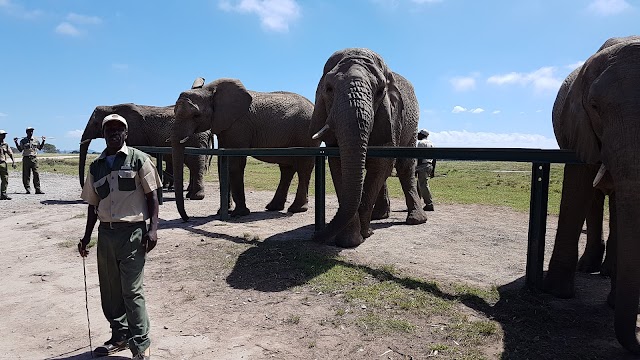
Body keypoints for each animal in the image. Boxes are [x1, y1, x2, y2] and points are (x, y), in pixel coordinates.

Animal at [79, 102, 211, 200]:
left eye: (96, 123)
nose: (83, 187)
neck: (112, 106)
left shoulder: (134, 131)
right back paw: (189, 194)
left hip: (196, 139)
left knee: (195, 163)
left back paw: (195, 196)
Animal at [172, 77, 320, 221]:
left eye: (196, 115)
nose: (187, 219)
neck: (209, 89)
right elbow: (222, 165)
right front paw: (223, 212)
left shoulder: (238, 125)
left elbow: (235, 164)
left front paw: (239, 213)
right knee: (286, 168)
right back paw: (273, 207)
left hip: (306, 135)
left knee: (303, 167)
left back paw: (296, 209)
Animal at [308, 47, 424, 249]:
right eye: (328, 89)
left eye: (380, 91)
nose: (315, 237)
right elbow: (339, 164)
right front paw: (349, 240)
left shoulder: (392, 116)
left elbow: (382, 161)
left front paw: (364, 235)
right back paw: (379, 216)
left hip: (412, 124)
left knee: (405, 165)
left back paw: (415, 219)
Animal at [544, 36, 640, 354]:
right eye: (595, 107)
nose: (636, 345)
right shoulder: (578, 123)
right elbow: (579, 181)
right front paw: (557, 294)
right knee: (597, 197)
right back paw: (591, 269)